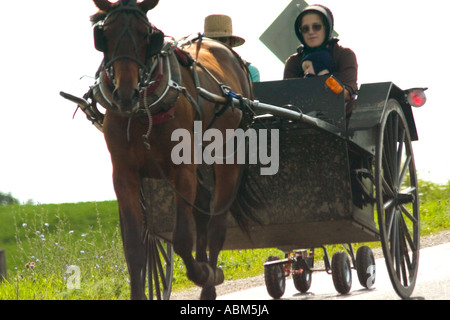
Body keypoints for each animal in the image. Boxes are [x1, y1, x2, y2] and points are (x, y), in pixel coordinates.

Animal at [89, 0, 260, 300]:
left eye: (147, 34)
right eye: (104, 35)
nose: (126, 95)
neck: (145, 110)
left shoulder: (181, 171)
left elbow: (181, 239)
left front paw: (203, 273)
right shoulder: (124, 175)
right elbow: (135, 247)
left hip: (227, 159)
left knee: (215, 225)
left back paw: (209, 281)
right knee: (202, 213)